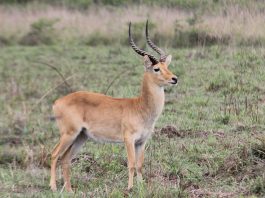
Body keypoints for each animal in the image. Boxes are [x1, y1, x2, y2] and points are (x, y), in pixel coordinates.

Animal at [49, 20, 177, 193]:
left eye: (167, 66)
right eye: (156, 69)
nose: (174, 78)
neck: (140, 107)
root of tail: (58, 102)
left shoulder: (142, 142)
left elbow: (140, 165)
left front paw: (141, 188)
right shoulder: (128, 139)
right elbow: (131, 164)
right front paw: (129, 189)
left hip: (80, 137)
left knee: (65, 159)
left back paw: (69, 190)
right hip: (68, 134)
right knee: (54, 154)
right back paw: (53, 187)